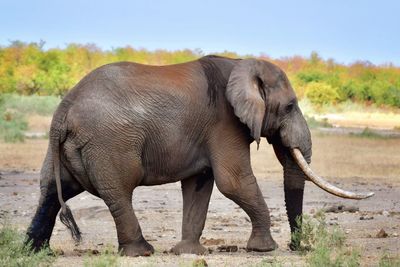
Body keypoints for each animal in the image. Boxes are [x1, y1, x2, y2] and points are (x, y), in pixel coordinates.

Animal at [26, 55, 374, 258]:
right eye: (289, 107)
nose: (298, 247)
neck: (243, 64)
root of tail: (64, 109)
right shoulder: (225, 122)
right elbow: (233, 182)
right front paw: (264, 250)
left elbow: (199, 186)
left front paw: (187, 252)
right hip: (109, 144)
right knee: (119, 192)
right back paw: (141, 252)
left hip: (66, 149)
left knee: (51, 192)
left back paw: (35, 252)